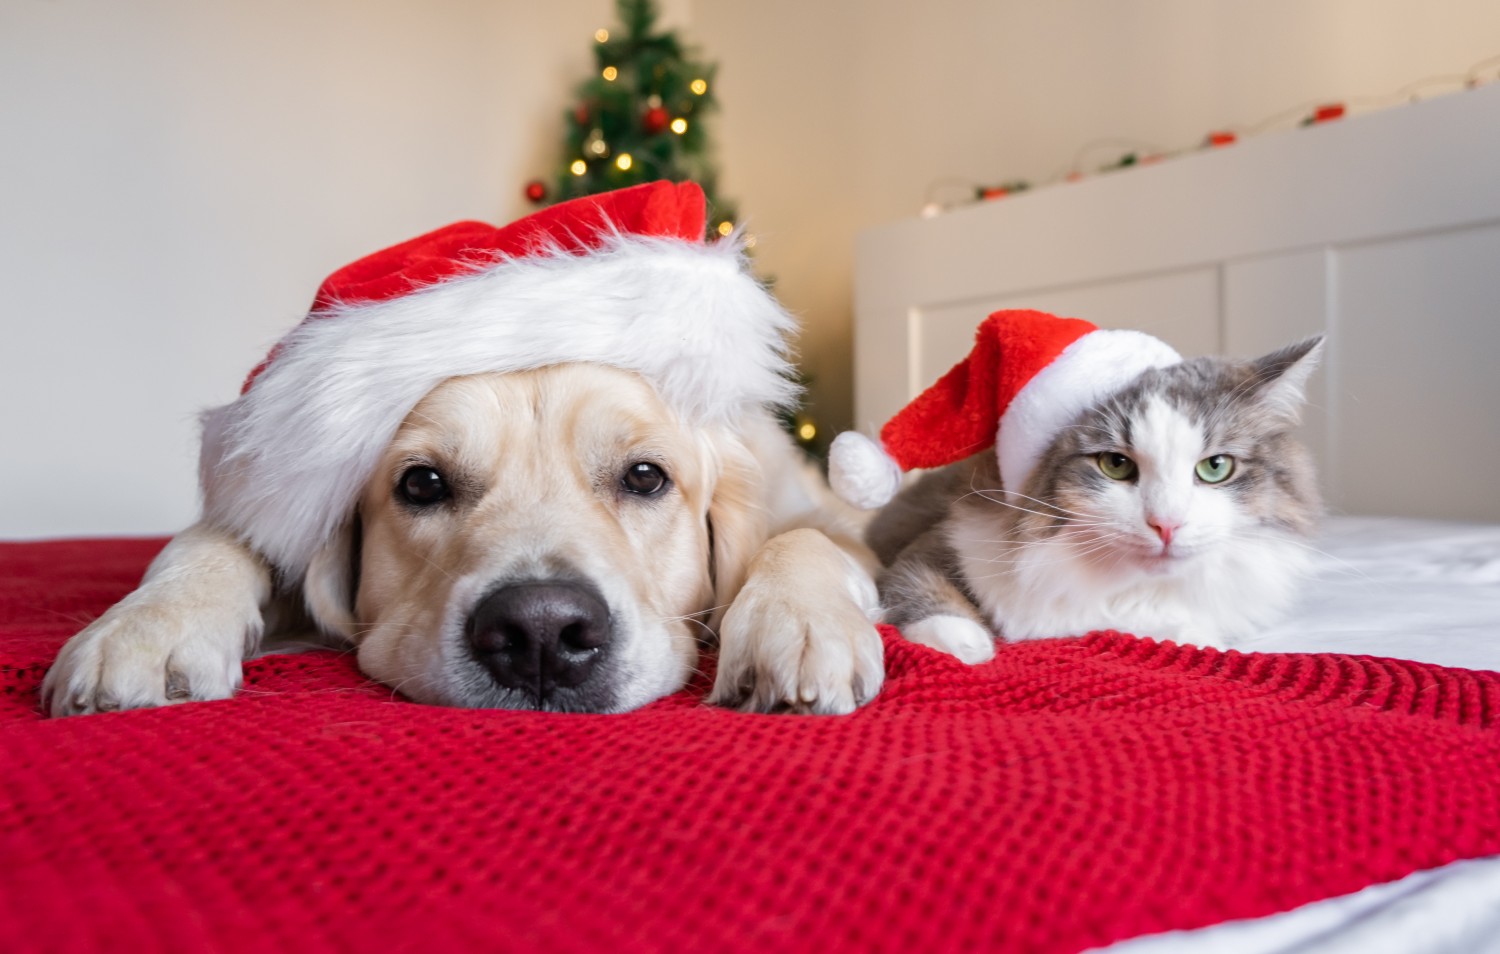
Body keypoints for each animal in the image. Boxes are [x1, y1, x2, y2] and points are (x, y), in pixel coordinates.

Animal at [43, 178, 888, 714]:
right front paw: (149, 627)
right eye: (421, 485)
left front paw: (795, 625)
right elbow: (214, 541)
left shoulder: (832, 525)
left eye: (646, 477)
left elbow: (807, 540)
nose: (542, 633)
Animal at [870, 337, 1326, 663]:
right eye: (1115, 465)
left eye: (1215, 467)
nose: (1166, 525)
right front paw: (965, 644)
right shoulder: (932, 543)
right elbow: (921, 588)